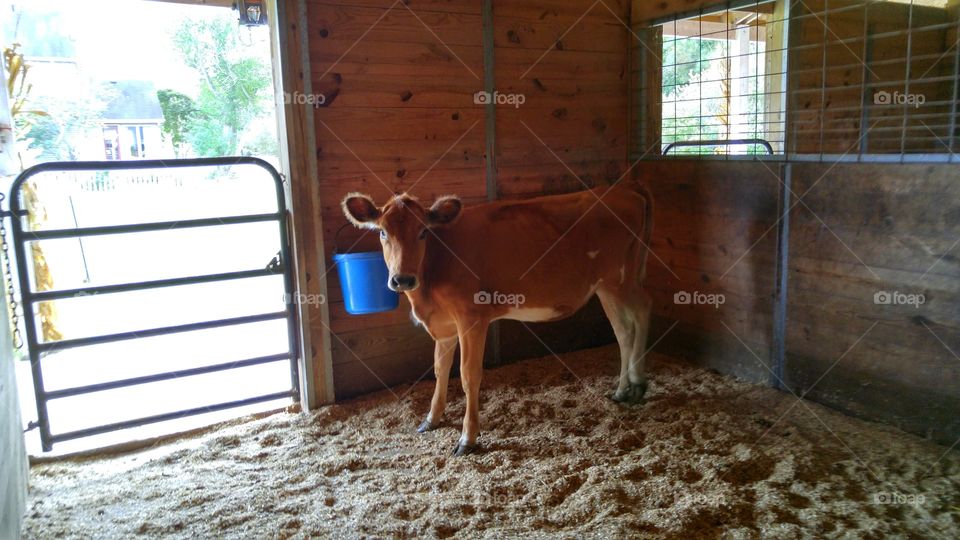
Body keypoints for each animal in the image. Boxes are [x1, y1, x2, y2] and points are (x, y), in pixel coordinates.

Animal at [341, 184, 653, 456]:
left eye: (423, 232)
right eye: (382, 232)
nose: (403, 279)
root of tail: (626, 191)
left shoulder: (472, 318)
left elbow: (468, 375)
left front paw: (468, 438)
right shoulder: (444, 325)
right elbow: (440, 370)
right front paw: (431, 419)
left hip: (620, 280)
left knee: (643, 312)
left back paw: (638, 382)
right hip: (604, 287)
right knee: (623, 332)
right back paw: (621, 390)